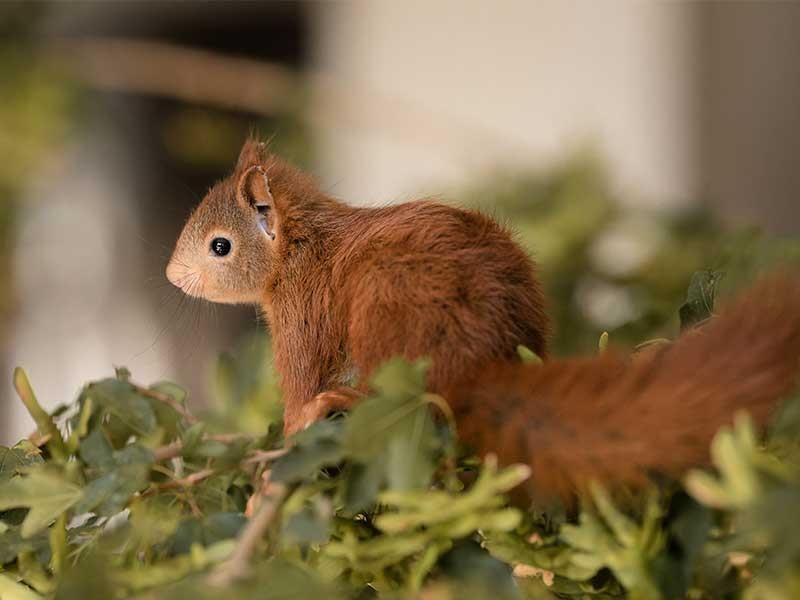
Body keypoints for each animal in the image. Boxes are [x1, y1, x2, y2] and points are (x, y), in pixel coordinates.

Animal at [166, 137, 800, 502]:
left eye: (220, 247)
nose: (171, 277)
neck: (302, 246)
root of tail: (478, 364)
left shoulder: (303, 313)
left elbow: (300, 386)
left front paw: (285, 444)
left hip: (385, 319)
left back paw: (342, 401)